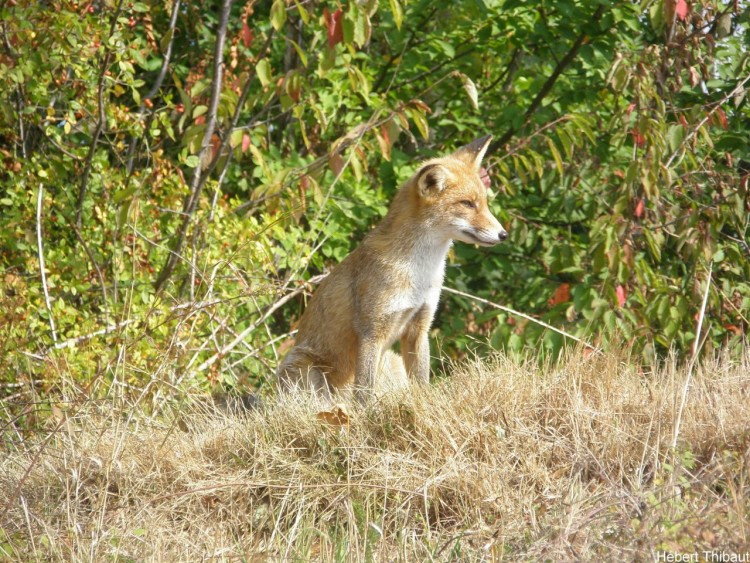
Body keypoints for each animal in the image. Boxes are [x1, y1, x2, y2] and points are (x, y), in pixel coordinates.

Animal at [280, 134, 508, 404]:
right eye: (467, 204)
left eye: (484, 203)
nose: (504, 234)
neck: (419, 273)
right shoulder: (372, 331)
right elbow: (364, 394)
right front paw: (365, 414)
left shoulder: (419, 327)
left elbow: (421, 383)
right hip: (303, 369)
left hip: (390, 362)